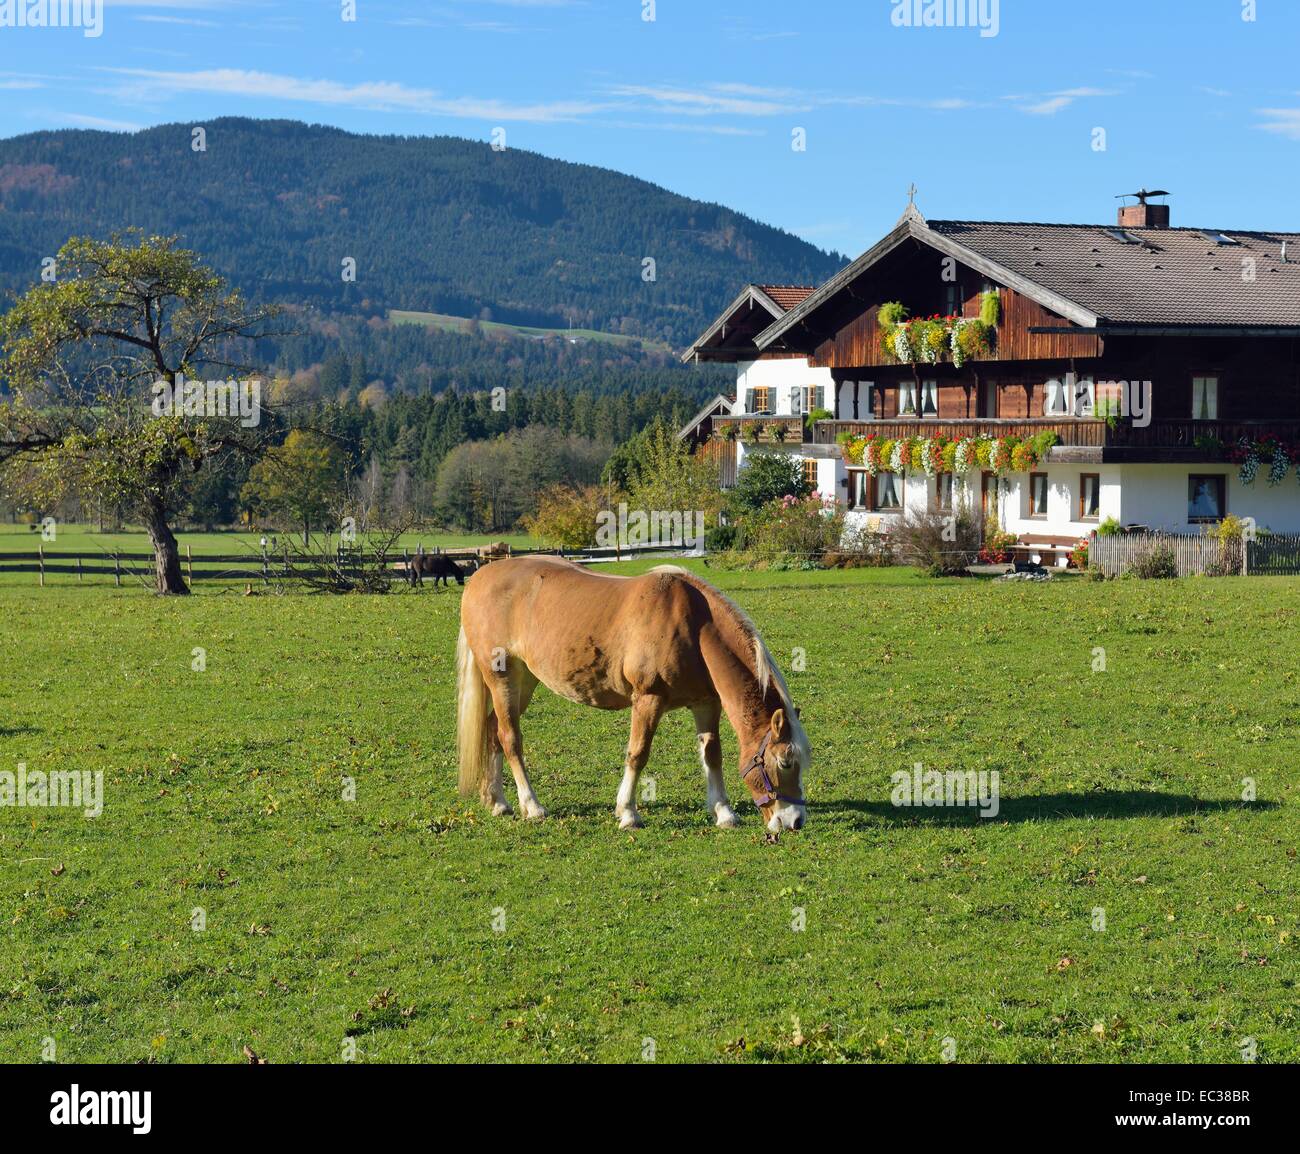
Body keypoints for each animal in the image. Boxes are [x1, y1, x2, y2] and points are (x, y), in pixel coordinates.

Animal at [452, 556, 806, 831]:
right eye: (785, 762)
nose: (795, 821)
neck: (693, 624)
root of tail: (479, 578)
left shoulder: (706, 704)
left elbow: (712, 755)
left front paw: (724, 812)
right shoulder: (648, 699)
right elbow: (638, 754)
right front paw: (628, 813)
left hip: (524, 681)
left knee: (493, 731)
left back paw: (498, 801)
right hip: (502, 677)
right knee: (510, 738)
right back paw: (532, 806)